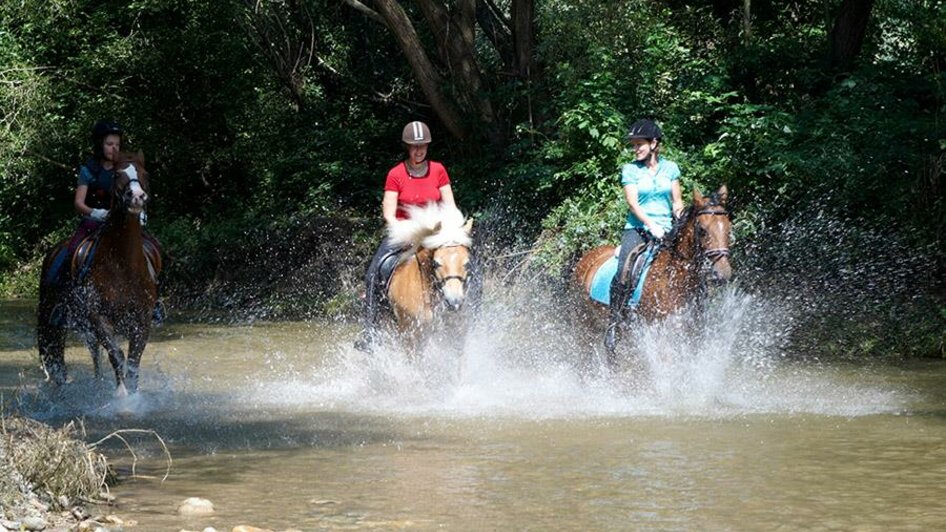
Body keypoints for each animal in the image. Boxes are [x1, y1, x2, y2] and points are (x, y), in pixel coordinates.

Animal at [37, 152, 161, 392]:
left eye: (146, 173)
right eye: (116, 175)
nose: (137, 197)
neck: (123, 265)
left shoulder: (142, 320)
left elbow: (133, 362)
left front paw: (134, 394)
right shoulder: (98, 317)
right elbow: (116, 354)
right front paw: (122, 395)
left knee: (93, 351)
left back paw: (96, 381)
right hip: (55, 316)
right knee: (59, 353)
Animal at [568, 186, 732, 366]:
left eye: (728, 228)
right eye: (702, 230)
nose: (723, 273)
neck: (673, 276)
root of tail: (586, 258)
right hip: (584, 324)